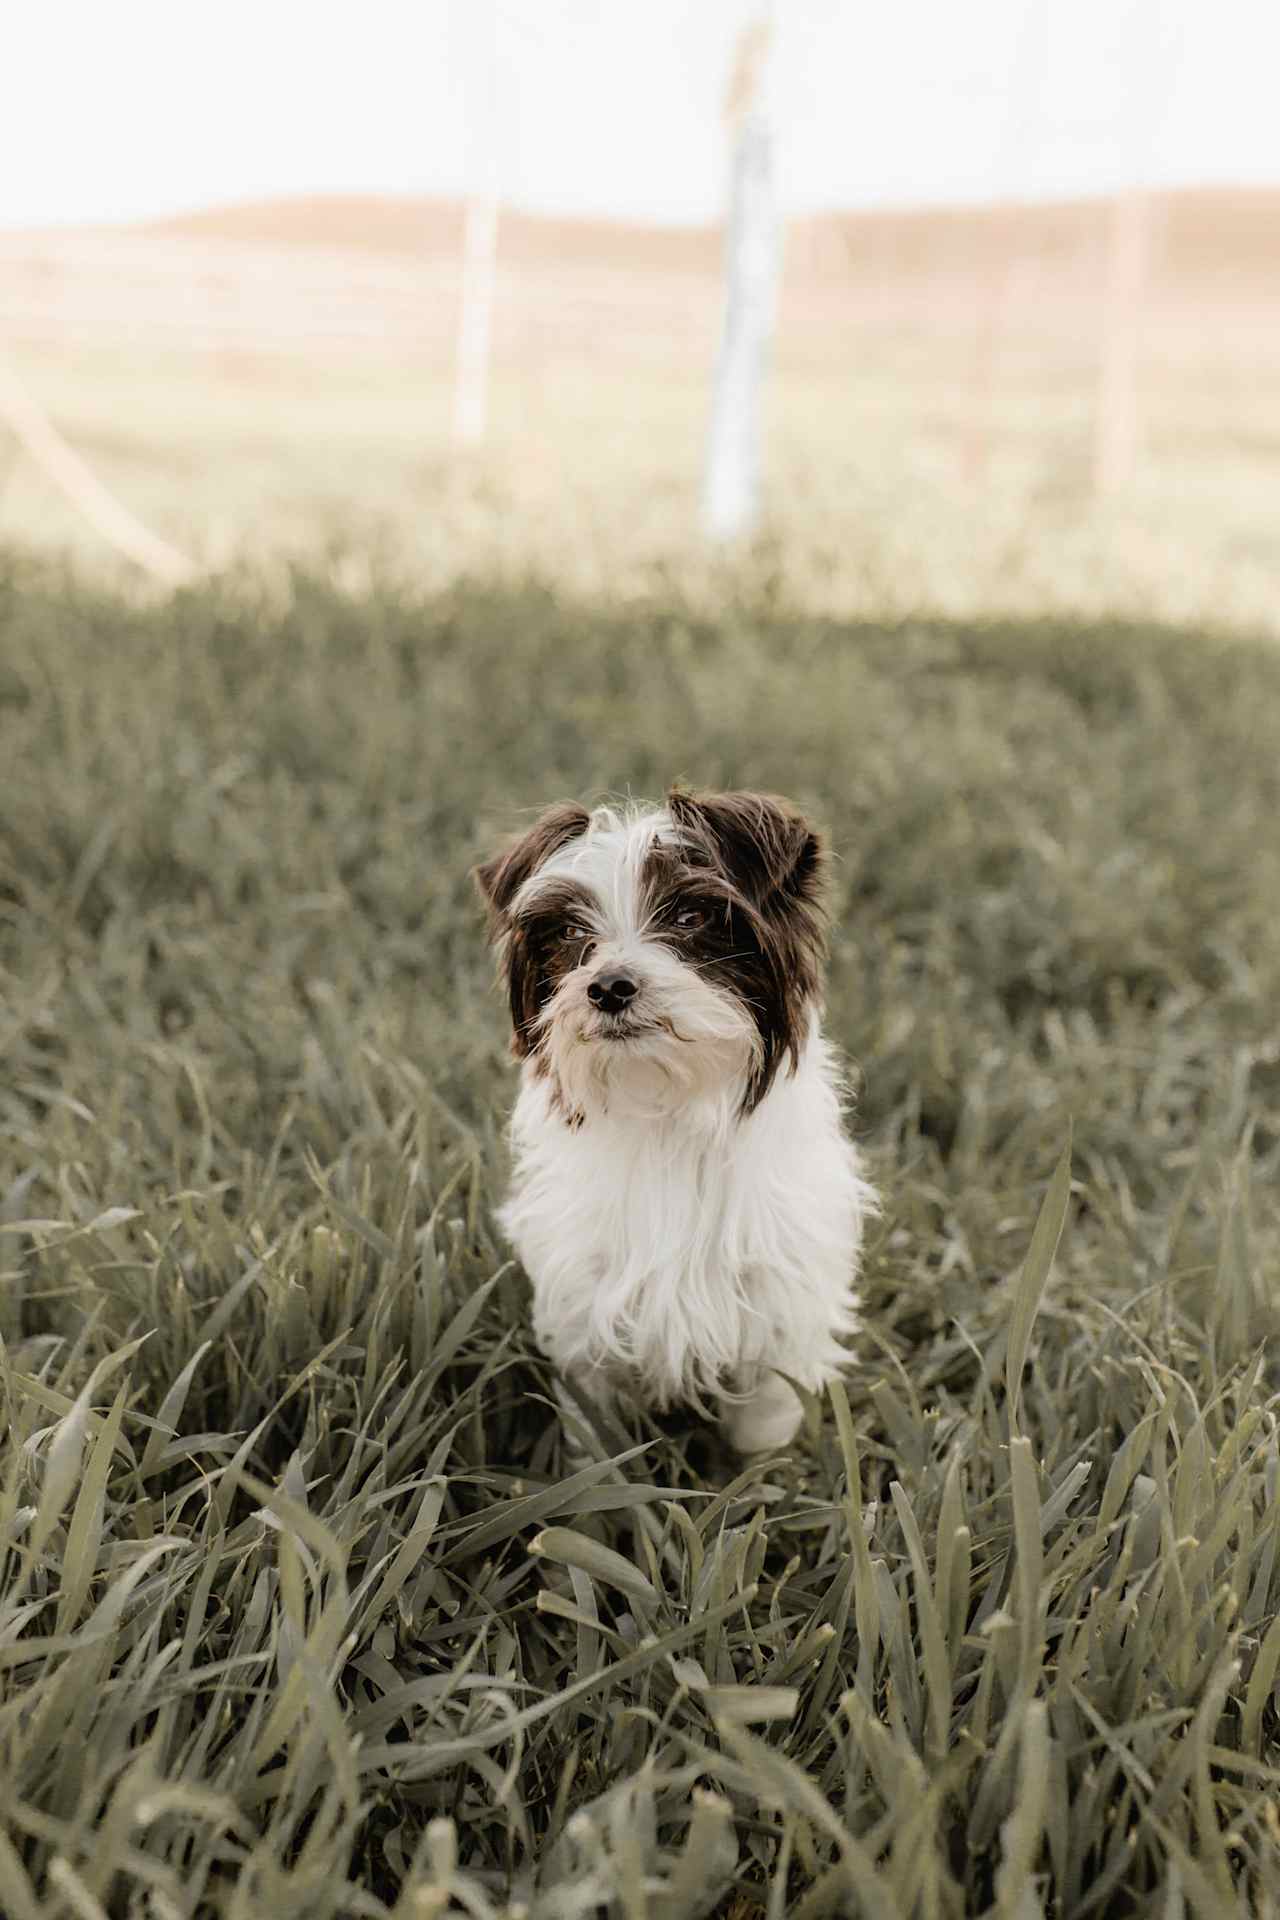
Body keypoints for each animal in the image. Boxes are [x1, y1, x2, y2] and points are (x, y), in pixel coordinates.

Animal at [475, 787, 875, 1443]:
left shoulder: (778, 1318)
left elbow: (761, 1436)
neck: (667, 1110)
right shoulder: (588, 1314)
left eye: (691, 918)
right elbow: (598, 1439)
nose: (609, 987)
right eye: (569, 931)